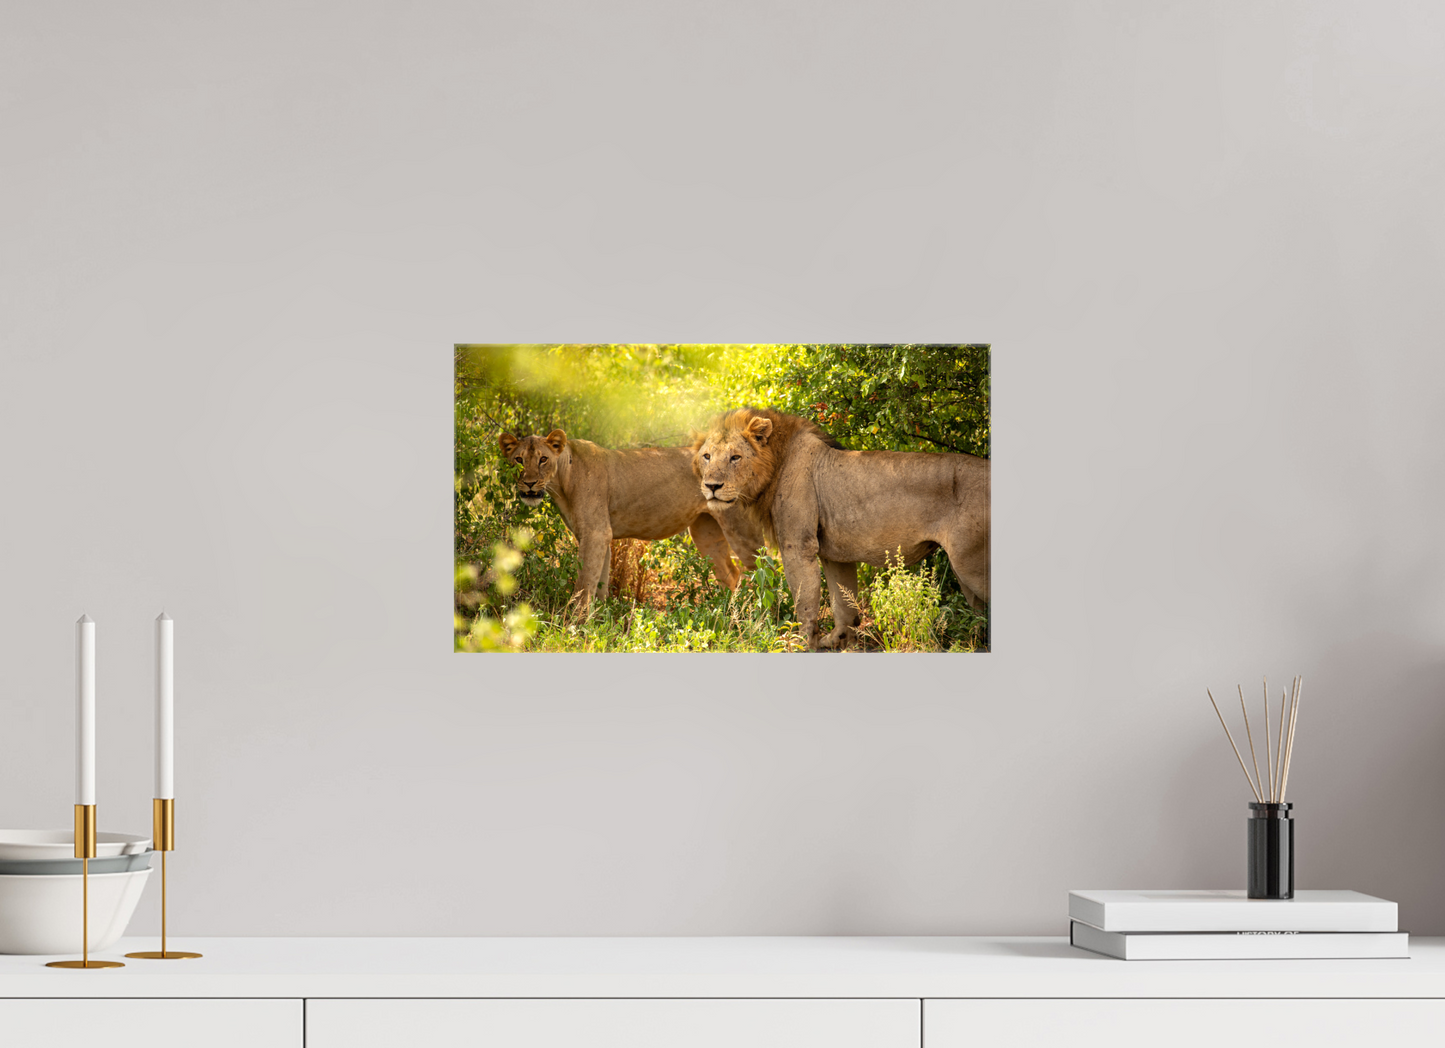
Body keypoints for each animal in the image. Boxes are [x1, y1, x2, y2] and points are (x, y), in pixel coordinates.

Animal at [498, 429, 764, 614]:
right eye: (519, 460)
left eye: (543, 459)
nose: (529, 484)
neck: (561, 482)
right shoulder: (599, 535)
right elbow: (599, 584)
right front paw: (598, 620)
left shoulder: (596, 533)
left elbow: (583, 584)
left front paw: (573, 623)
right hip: (705, 532)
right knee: (731, 573)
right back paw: (726, 614)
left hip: (742, 532)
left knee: (764, 570)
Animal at [692, 407, 989, 651]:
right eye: (707, 456)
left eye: (735, 457)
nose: (712, 486)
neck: (777, 461)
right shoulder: (835, 554)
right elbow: (843, 602)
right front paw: (838, 640)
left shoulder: (798, 546)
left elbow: (805, 599)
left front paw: (800, 643)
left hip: (970, 564)